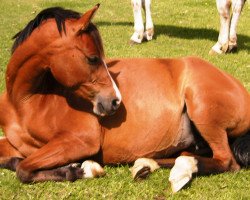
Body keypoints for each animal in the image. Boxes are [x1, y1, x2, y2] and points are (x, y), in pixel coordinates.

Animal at [0, 4, 249, 192]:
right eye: (92, 58)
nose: (115, 101)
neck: (26, 103)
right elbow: (13, 161)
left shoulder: (79, 141)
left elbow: (24, 169)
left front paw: (80, 169)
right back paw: (147, 164)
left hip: (203, 113)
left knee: (226, 160)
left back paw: (180, 169)